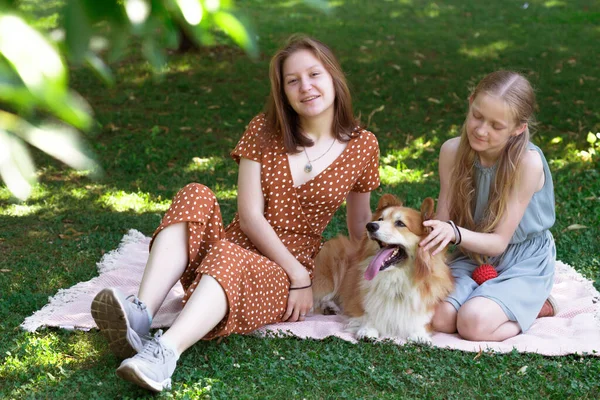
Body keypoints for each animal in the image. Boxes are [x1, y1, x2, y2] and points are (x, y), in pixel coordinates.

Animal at [314, 195, 454, 342]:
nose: (370, 225)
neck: (396, 276)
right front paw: (368, 329)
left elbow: (420, 320)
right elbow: (369, 314)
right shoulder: (359, 303)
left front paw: (419, 334)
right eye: (380, 219)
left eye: (400, 223)